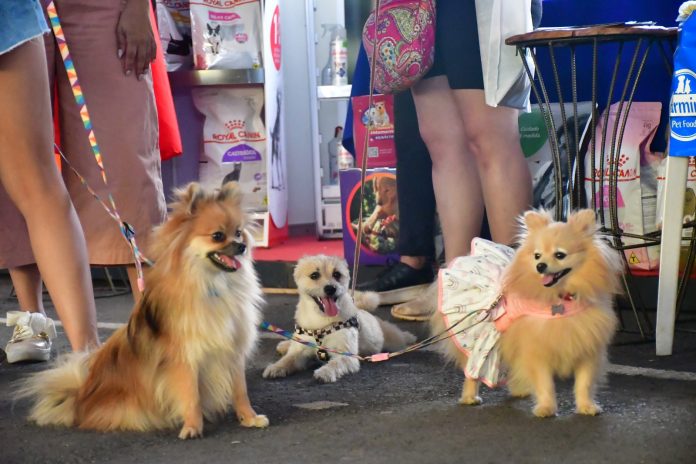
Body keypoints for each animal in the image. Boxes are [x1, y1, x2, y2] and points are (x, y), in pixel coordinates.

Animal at [14, 182, 270, 438]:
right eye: (217, 236)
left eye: (238, 232)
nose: (242, 246)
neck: (212, 285)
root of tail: (80, 397)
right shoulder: (185, 358)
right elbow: (191, 396)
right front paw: (192, 426)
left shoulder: (233, 351)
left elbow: (240, 390)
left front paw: (249, 417)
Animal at [260, 256, 414, 382]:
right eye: (314, 275)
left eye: (337, 274)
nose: (330, 288)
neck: (321, 321)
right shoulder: (300, 351)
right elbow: (288, 359)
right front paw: (276, 367)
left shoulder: (346, 355)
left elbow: (335, 363)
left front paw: (325, 372)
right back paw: (285, 345)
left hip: (394, 339)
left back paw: (409, 337)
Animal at [432, 209, 624, 416]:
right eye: (537, 256)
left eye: (559, 255)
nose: (540, 266)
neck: (561, 301)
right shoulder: (536, 349)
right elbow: (545, 383)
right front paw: (546, 408)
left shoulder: (587, 348)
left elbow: (584, 383)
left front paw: (586, 406)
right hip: (479, 342)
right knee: (472, 373)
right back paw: (469, 397)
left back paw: (519, 389)